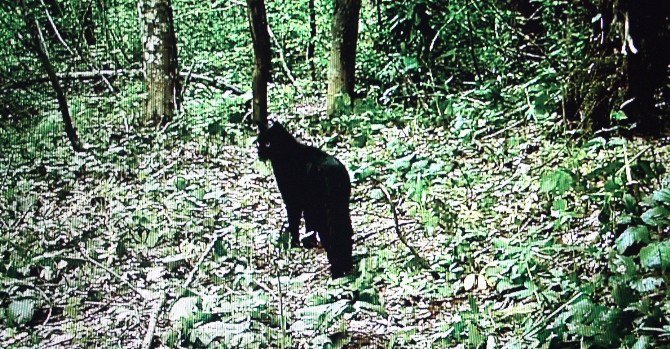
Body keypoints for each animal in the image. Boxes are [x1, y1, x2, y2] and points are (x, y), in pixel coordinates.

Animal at [258, 120, 354, 278]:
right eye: (259, 142)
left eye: (267, 143)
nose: (259, 151)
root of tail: (335, 172)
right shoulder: (309, 204)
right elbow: (310, 224)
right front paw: (309, 242)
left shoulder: (292, 200)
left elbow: (294, 222)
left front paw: (294, 243)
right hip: (340, 206)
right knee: (344, 231)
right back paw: (346, 266)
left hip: (325, 209)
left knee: (331, 235)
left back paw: (336, 270)